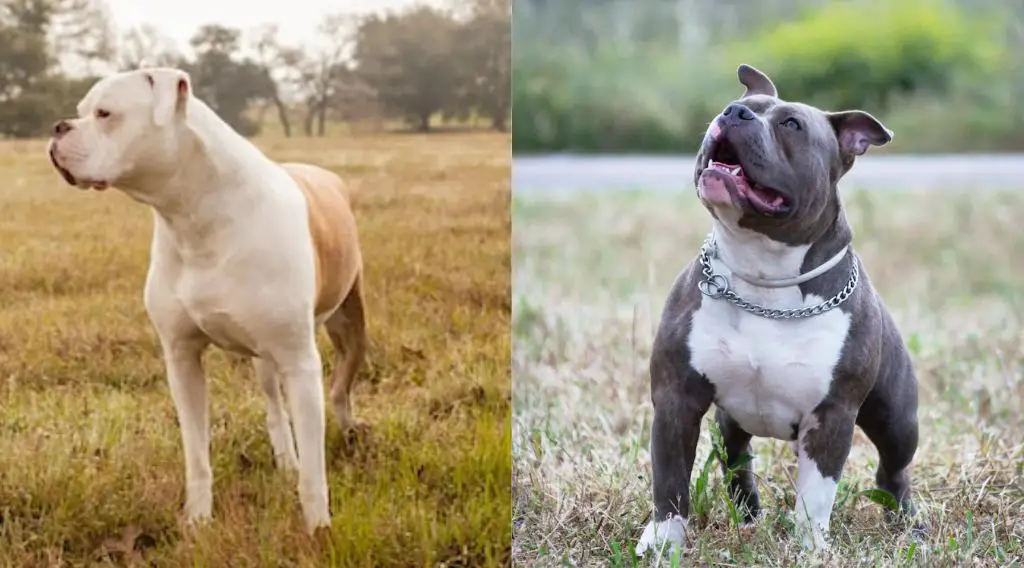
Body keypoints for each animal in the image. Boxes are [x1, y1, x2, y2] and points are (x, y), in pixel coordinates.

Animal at [48, 66, 370, 532]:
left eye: (105, 113)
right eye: (80, 111)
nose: (58, 128)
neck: (194, 214)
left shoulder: (299, 360)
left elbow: (314, 473)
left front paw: (318, 530)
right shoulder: (182, 359)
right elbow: (197, 455)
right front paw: (198, 522)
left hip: (349, 326)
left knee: (341, 388)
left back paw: (350, 435)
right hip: (264, 360)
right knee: (275, 407)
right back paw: (285, 460)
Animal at [638, 65, 921, 556]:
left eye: (791, 124)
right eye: (733, 103)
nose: (735, 112)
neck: (763, 276)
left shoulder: (831, 417)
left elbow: (815, 496)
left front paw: (812, 550)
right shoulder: (676, 399)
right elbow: (670, 481)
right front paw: (662, 542)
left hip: (897, 419)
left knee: (894, 468)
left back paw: (906, 522)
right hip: (731, 419)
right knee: (737, 459)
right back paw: (748, 513)